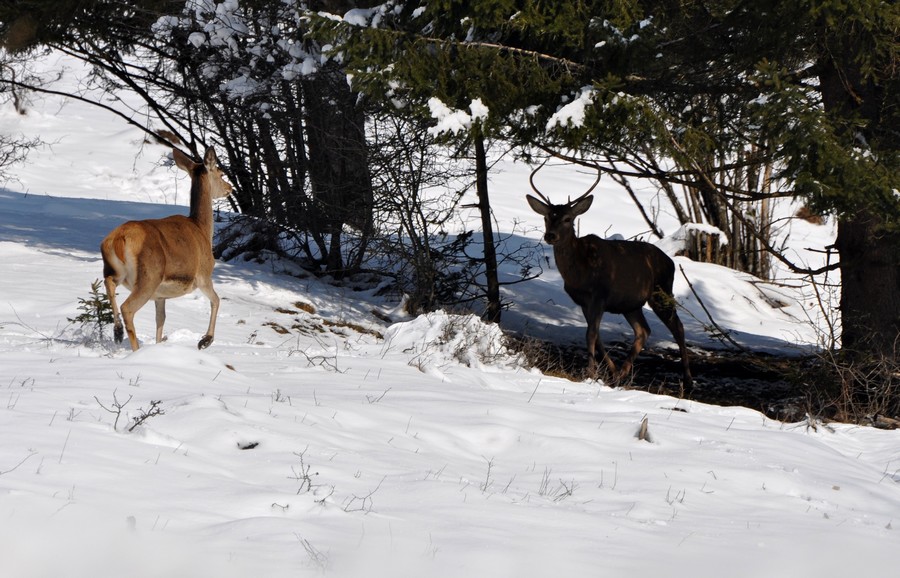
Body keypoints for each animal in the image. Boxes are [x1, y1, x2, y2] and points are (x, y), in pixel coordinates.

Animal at [100, 146, 234, 348]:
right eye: (220, 173)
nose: (230, 188)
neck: (202, 229)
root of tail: (118, 239)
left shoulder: (160, 296)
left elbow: (160, 319)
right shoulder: (203, 275)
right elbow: (216, 300)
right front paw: (205, 340)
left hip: (114, 269)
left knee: (108, 283)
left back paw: (117, 332)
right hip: (149, 276)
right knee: (127, 308)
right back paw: (134, 346)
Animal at [528, 166, 696, 392]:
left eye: (567, 219)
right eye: (546, 217)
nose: (550, 236)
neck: (579, 272)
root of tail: (670, 262)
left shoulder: (600, 295)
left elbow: (590, 334)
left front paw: (590, 373)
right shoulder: (583, 301)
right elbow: (596, 335)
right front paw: (610, 370)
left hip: (661, 290)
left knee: (678, 327)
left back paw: (688, 380)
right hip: (631, 304)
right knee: (643, 330)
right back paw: (621, 374)